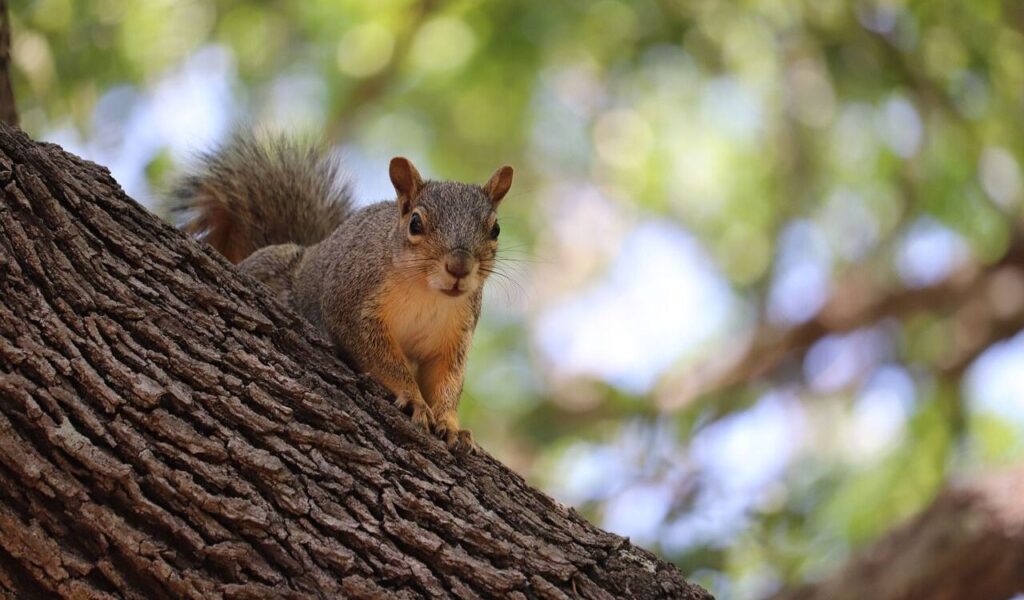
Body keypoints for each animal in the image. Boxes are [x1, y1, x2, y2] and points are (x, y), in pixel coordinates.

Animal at [172, 132, 513, 452]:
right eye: (415, 223)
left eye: (496, 229)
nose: (459, 267)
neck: (427, 294)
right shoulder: (351, 304)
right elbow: (380, 357)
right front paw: (414, 398)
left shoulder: (453, 336)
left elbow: (446, 380)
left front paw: (451, 424)